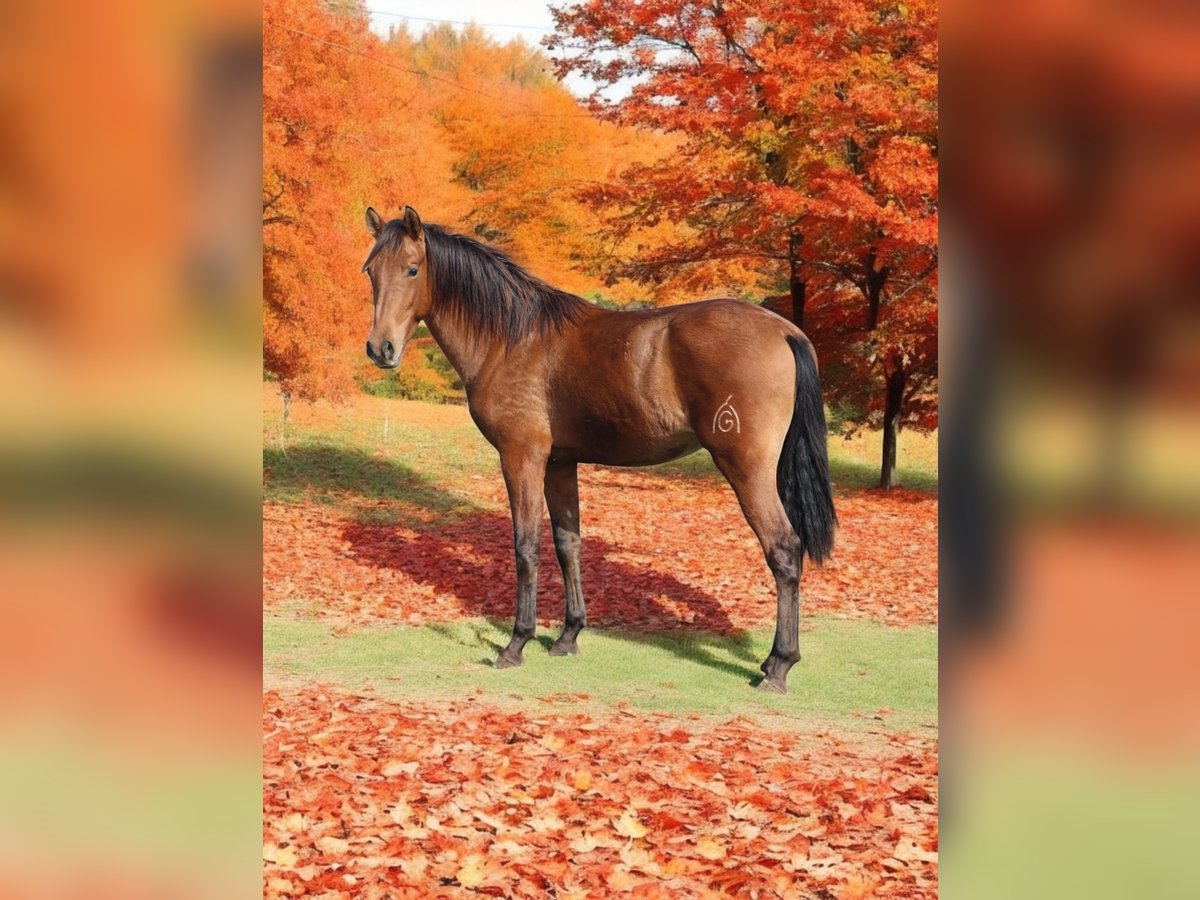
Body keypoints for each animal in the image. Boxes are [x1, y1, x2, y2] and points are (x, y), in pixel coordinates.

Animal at [360, 207, 840, 696]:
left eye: (412, 269)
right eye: (371, 272)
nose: (381, 349)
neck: (513, 338)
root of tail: (785, 331)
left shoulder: (522, 457)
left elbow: (526, 546)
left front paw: (516, 643)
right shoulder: (559, 463)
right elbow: (567, 543)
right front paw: (568, 636)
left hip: (747, 469)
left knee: (784, 549)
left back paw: (779, 665)